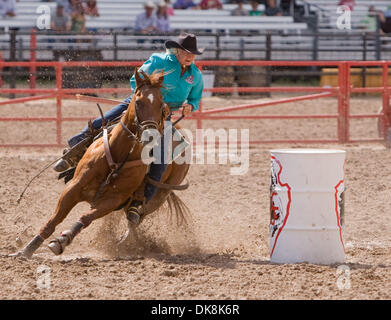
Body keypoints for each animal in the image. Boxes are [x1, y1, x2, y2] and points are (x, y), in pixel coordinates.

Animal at [10, 69, 191, 258]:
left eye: (162, 105)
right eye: (139, 102)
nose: (151, 136)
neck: (119, 154)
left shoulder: (112, 200)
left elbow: (86, 217)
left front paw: (62, 240)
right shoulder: (74, 187)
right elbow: (54, 219)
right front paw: (27, 250)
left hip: (156, 199)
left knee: (135, 219)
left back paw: (125, 242)